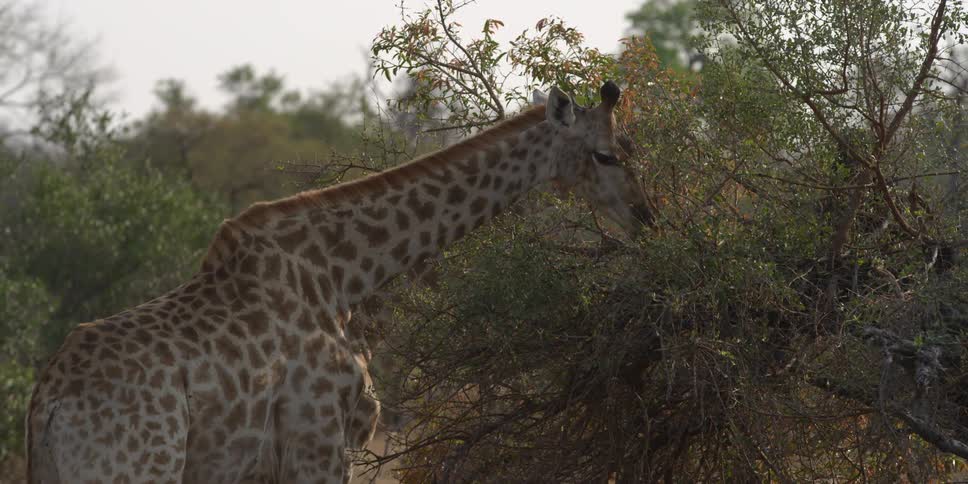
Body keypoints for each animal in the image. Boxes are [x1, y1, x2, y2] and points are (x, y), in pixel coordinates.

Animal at [25, 81, 652, 484]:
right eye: (605, 155)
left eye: (629, 147)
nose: (647, 216)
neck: (343, 275)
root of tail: (48, 405)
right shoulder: (320, 443)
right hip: (134, 470)